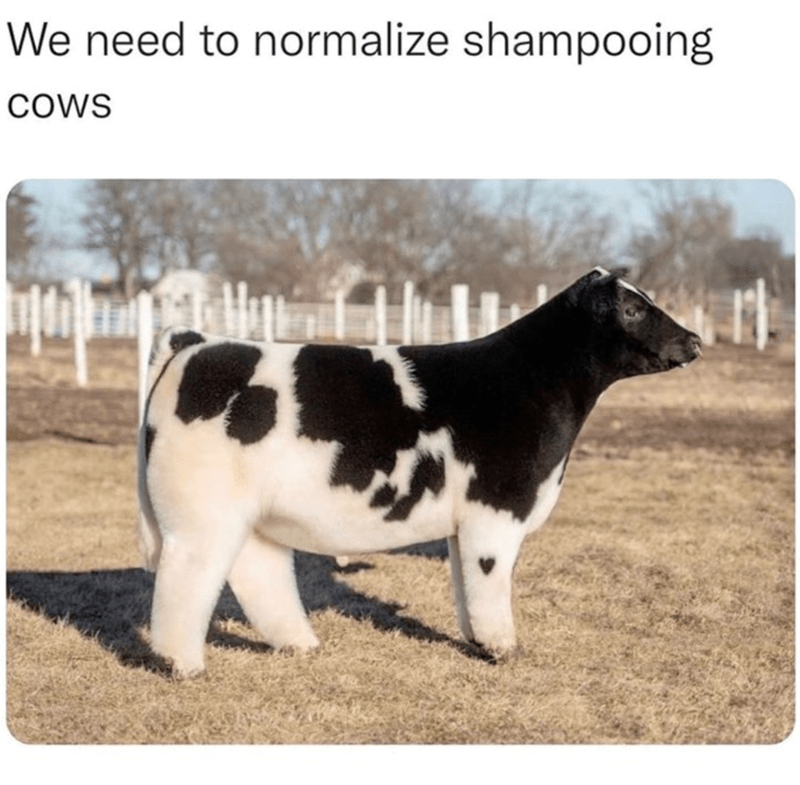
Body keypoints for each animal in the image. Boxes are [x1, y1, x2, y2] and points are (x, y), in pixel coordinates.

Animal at [137, 267, 701, 678]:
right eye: (632, 308)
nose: (694, 340)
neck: (528, 382)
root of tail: (198, 342)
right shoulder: (496, 510)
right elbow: (490, 583)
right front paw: (503, 649)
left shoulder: (465, 523)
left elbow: (465, 585)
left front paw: (476, 641)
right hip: (201, 513)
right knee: (187, 579)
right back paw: (182, 665)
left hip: (250, 514)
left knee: (258, 572)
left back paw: (300, 644)